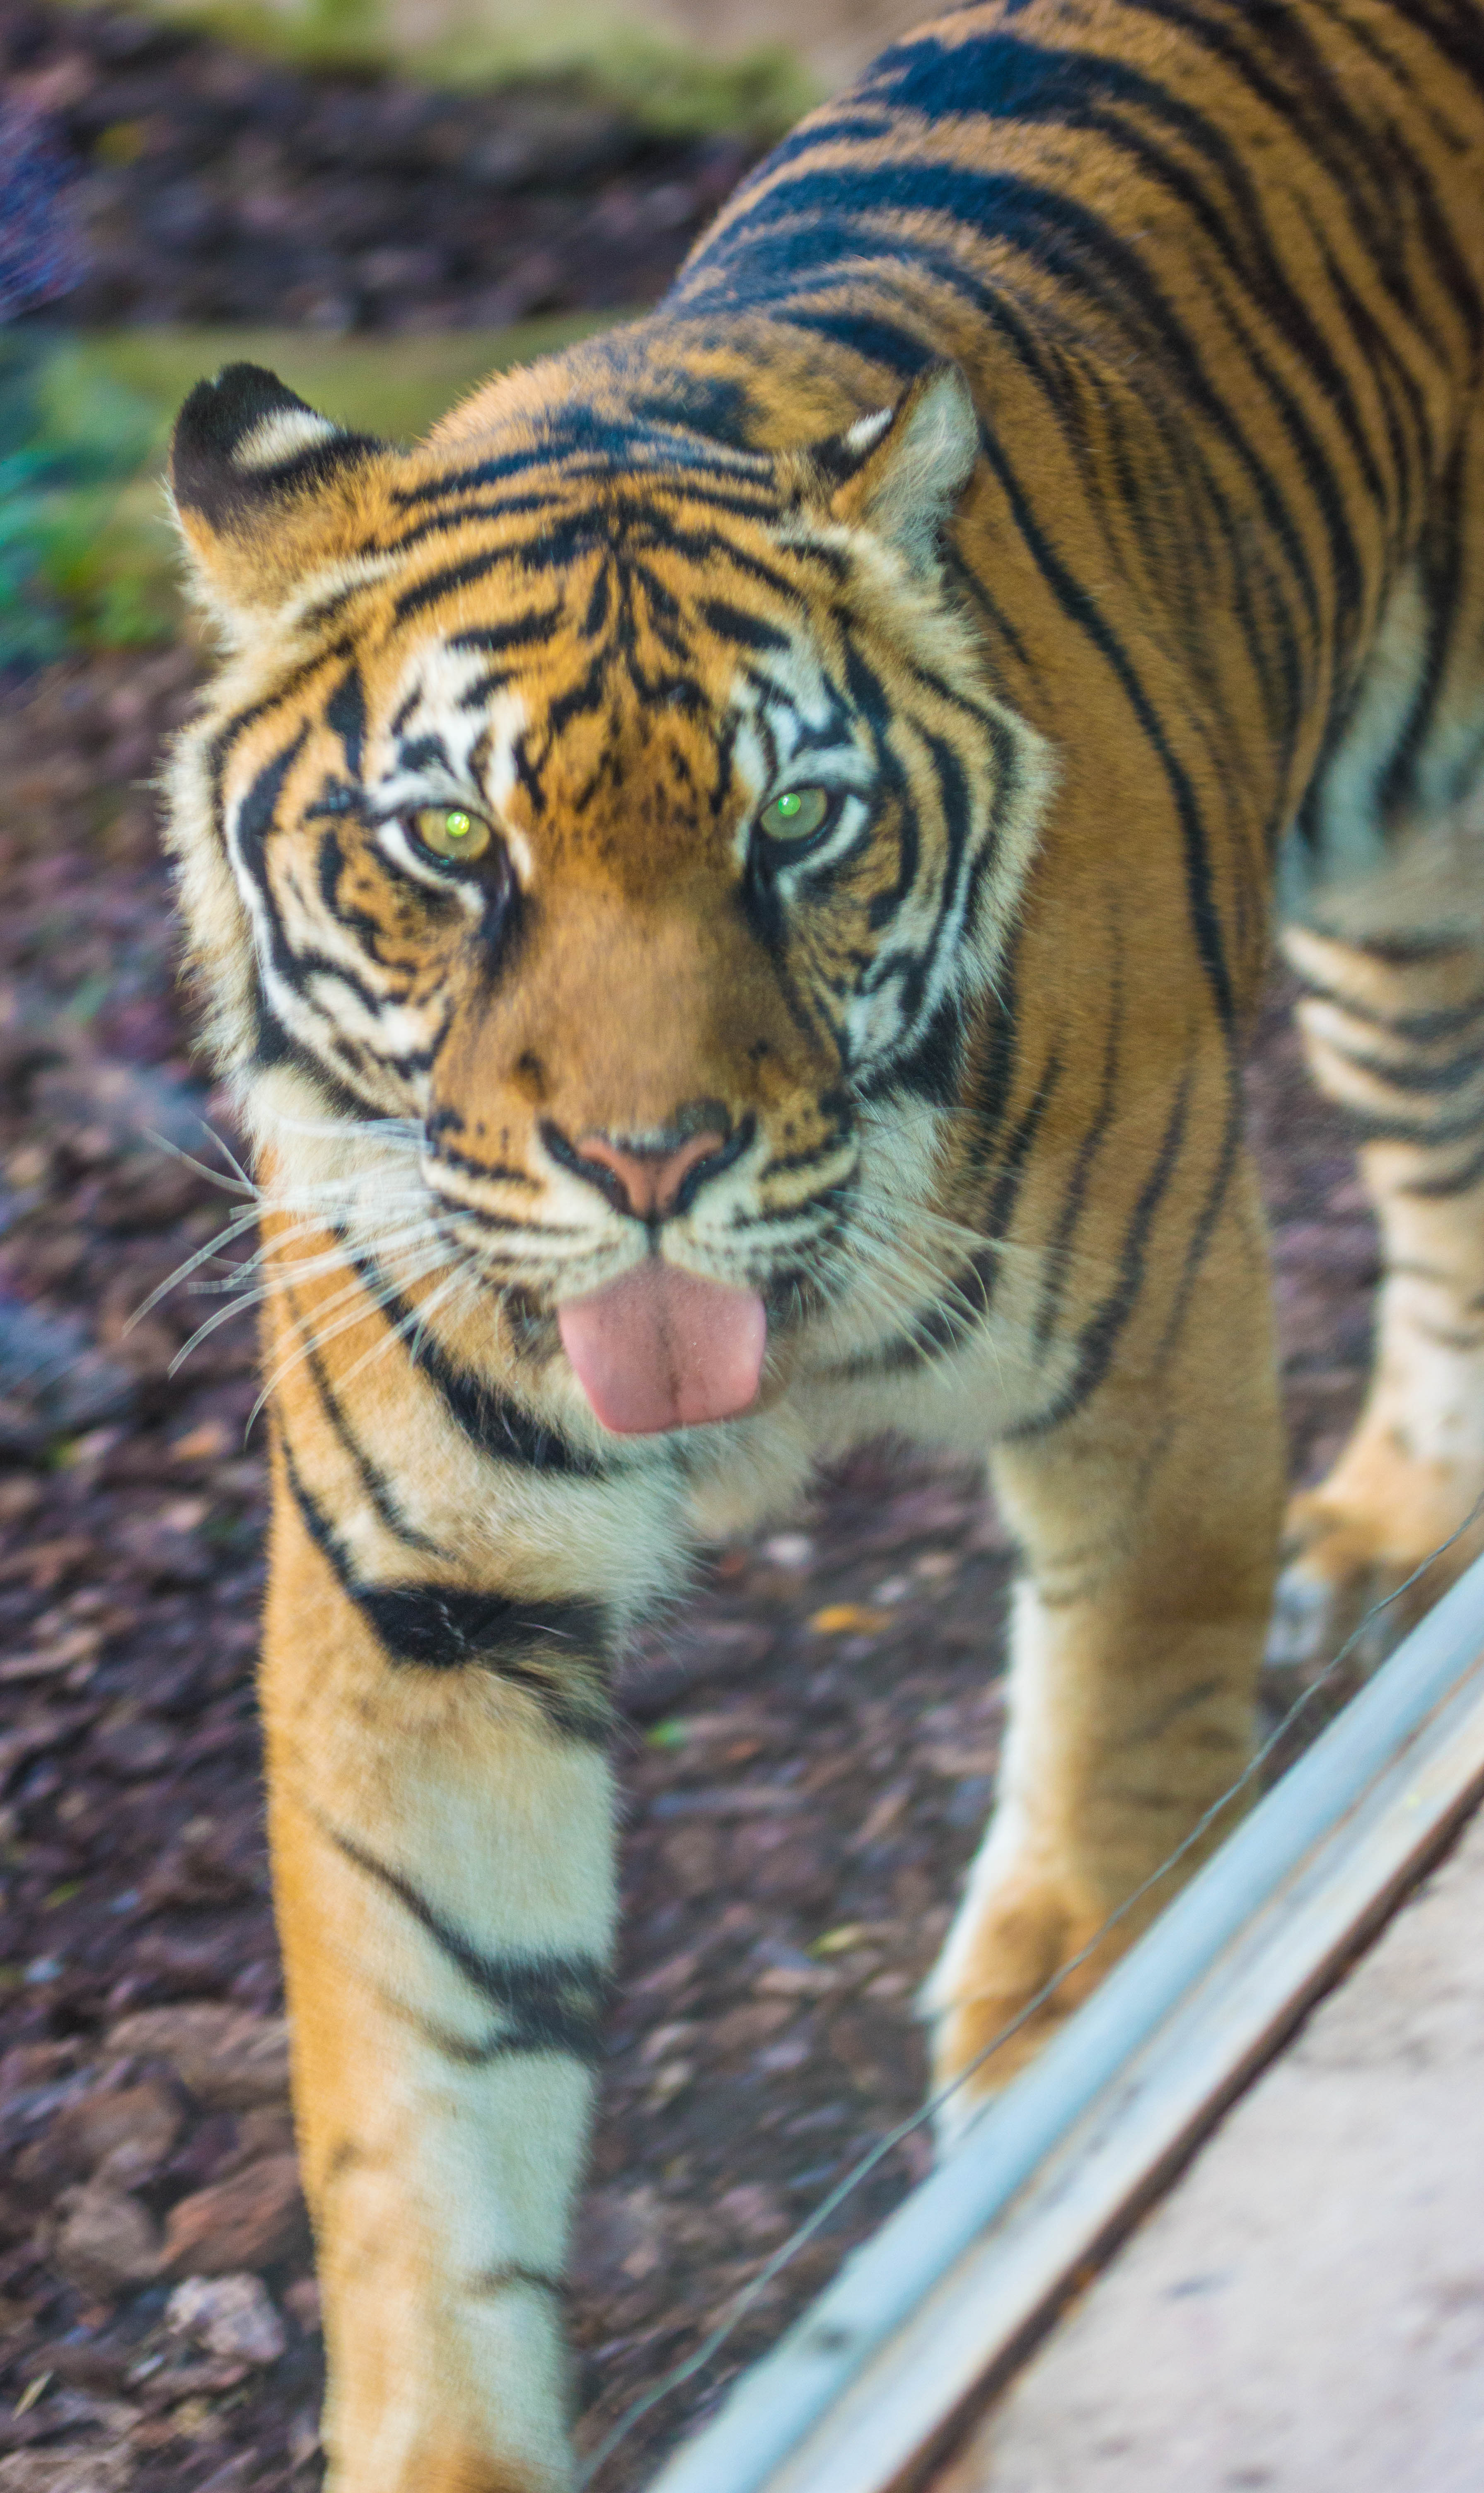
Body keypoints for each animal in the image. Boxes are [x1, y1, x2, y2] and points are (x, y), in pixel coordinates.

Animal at [163, 0, 1484, 2483]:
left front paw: (1048, 2051)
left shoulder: (1154, 1359)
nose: (645, 1160)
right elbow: (423, 2101)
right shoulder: (422, 1601)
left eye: (794, 819)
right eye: (448, 842)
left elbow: (1113, 1748)